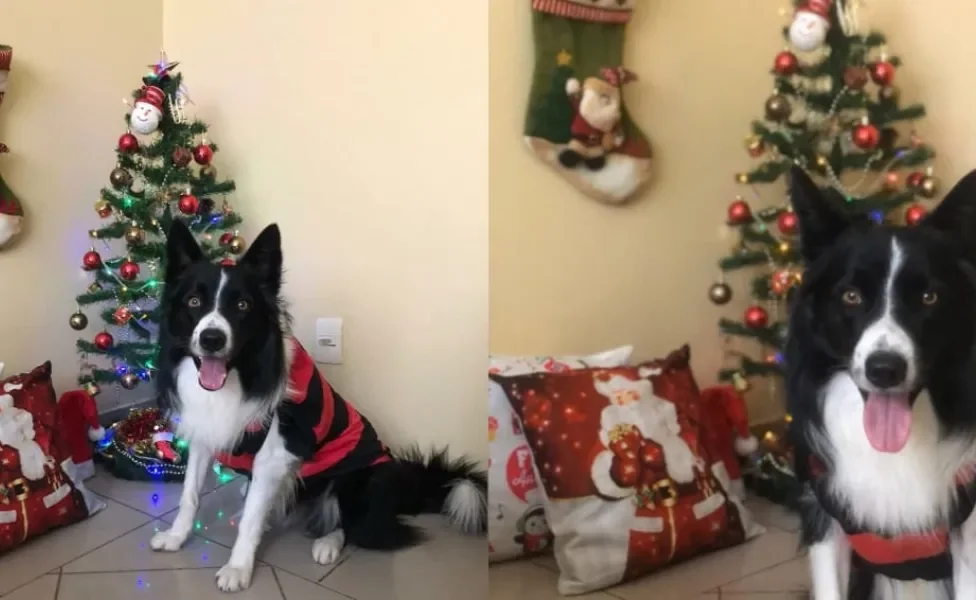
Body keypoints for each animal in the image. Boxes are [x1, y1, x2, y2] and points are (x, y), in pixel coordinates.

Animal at [150, 220, 488, 592]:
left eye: (242, 306)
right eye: (194, 301)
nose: (212, 339)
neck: (239, 377)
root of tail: (404, 483)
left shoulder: (273, 455)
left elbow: (252, 519)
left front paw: (238, 567)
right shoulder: (204, 436)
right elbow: (190, 495)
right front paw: (176, 536)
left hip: (356, 480)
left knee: (356, 524)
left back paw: (327, 542)